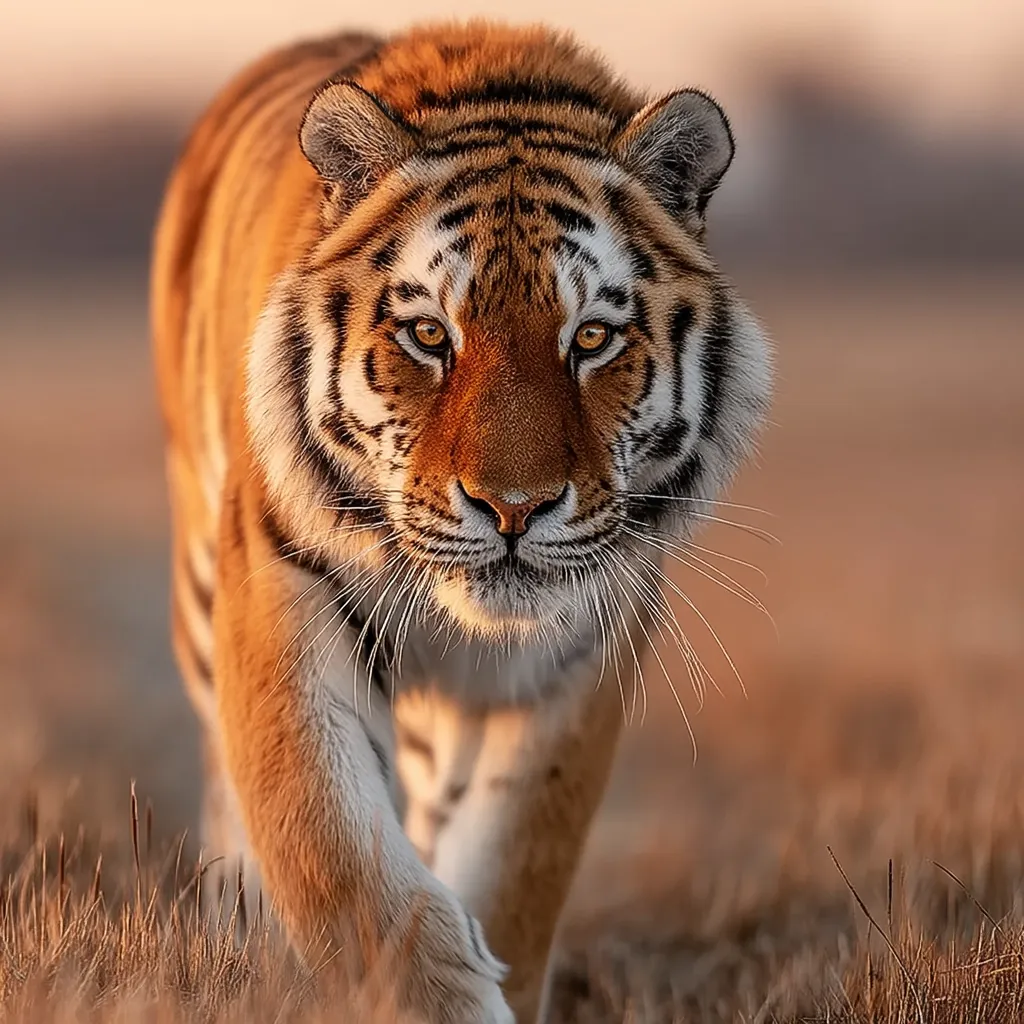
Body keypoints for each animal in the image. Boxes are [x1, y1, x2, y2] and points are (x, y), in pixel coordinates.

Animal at [150, 20, 771, 1024]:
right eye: (431, 336)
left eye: (590, 338)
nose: (513, 508)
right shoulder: (281, 602)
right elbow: (341, 860)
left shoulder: (583, 654)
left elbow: (518, 860)